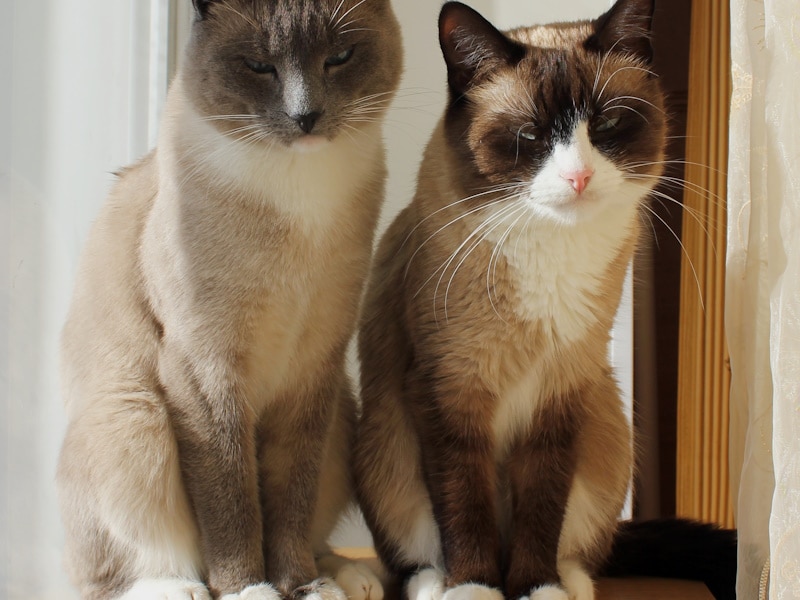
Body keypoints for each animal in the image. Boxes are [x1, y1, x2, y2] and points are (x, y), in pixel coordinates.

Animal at [57, 1, 400, 600]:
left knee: (317, 532)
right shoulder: (207, 369)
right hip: (135, 417)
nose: (306, 116)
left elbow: (288, 501)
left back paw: (344, 579)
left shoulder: (314, 365)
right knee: (112, 578)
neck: (301, 199)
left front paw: (296, 584)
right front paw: (250, 588)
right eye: (260, 67)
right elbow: (231, 498)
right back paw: (182, 587)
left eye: (338, 57)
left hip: (343, 411)